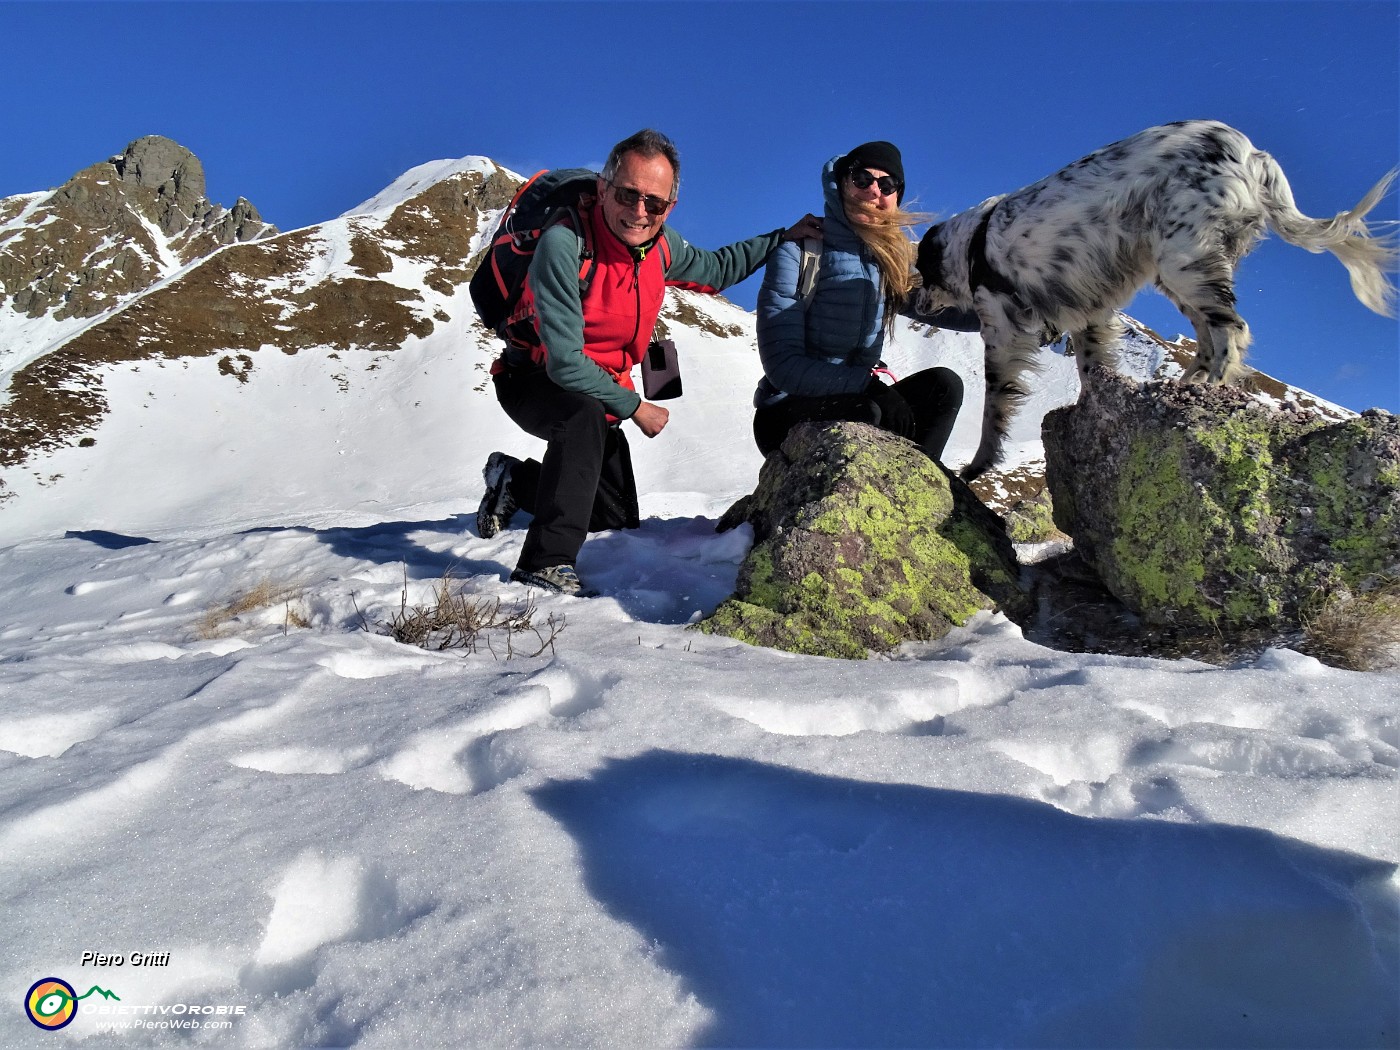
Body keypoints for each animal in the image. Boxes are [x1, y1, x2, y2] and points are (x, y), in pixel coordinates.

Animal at [912, 122, 1394, 481]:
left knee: (1230, 330)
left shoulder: (1001, 330)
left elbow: (994, 403)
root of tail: (1251, 153)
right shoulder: (1087, 315)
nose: (915, 298)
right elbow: (1091, 370)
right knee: (1208, 334)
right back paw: (1186, 384)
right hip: (1181, 269)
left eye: (923, 271)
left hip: (1182, 258)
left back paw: (1210, 388)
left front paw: (978, 465)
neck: (975, 242)